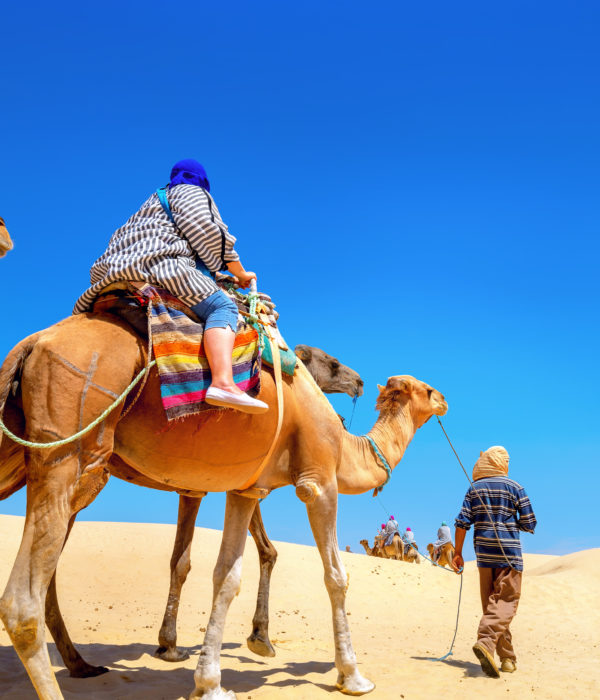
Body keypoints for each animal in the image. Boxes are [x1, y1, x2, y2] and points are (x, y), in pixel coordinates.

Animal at [0, 314, 446, 700]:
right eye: (427, 390)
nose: (443, 399)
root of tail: (33, 343)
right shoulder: (317, 483)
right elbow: (335, 576)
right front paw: (352, 676)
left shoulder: (244, 489)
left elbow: (225, 575)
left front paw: (210, 681)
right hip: (70, 445)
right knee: (23, 598)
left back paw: (82, 664)